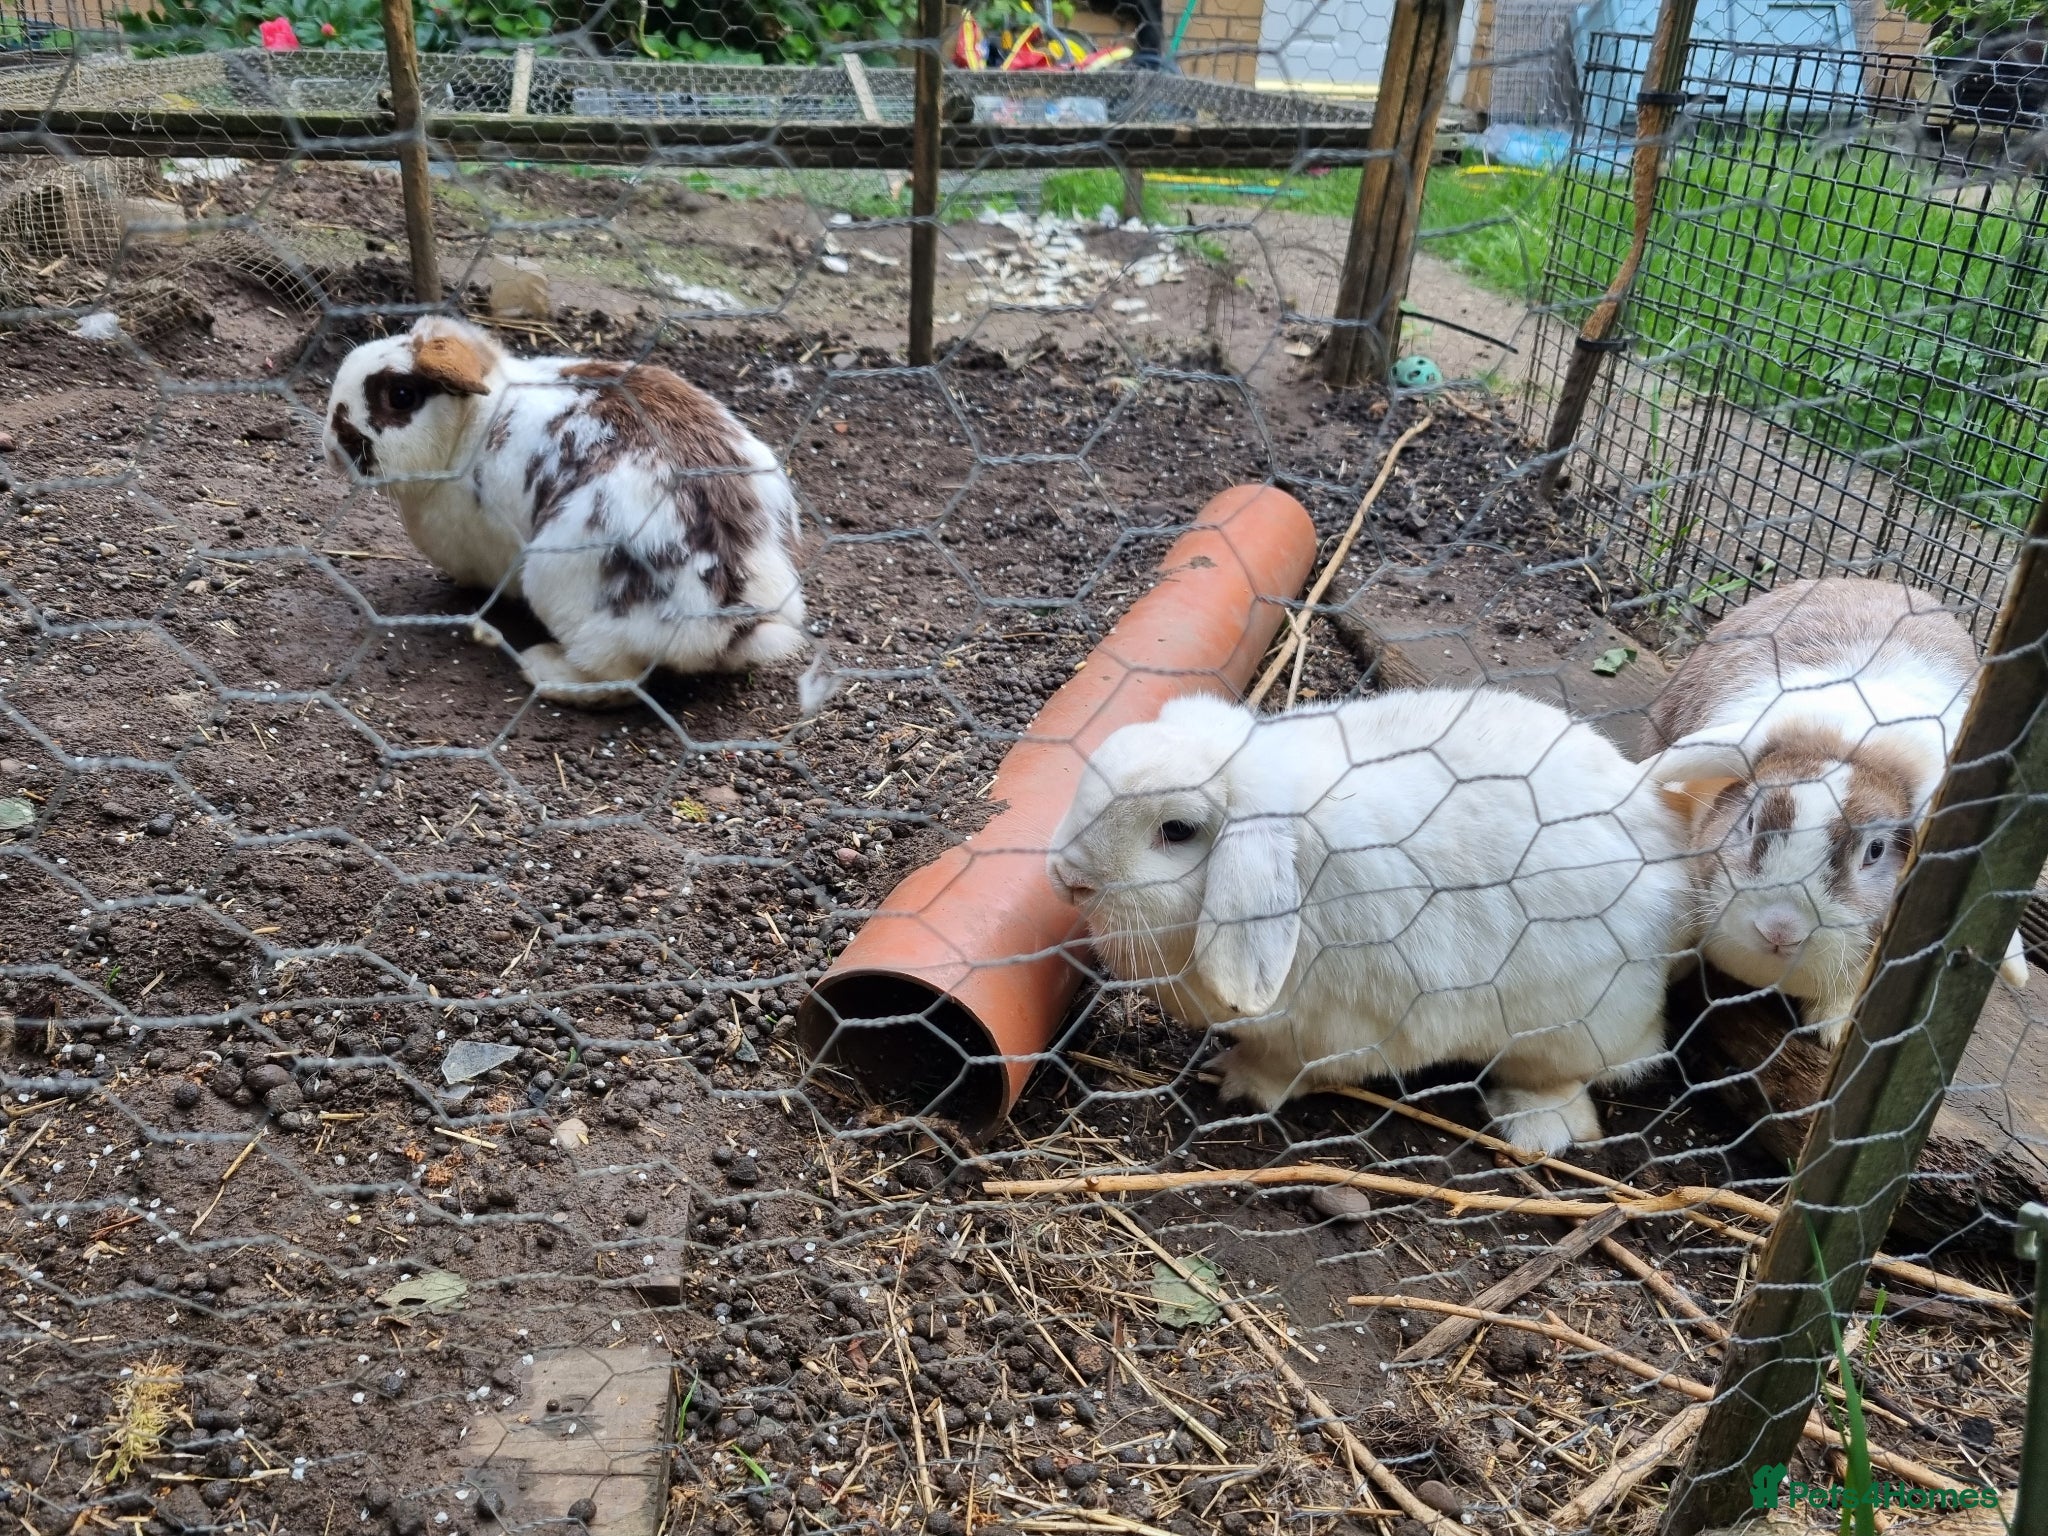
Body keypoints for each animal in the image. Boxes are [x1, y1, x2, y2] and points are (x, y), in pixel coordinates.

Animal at [322, 314, 809, 705]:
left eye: (401, 395)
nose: (332, 444)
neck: (472, 425)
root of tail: (731, 616)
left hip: (560, 585)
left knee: (618, 682)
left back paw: (541, 668)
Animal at [1046, 687, 1692, 1154]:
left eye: (1177, 830)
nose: (1067, 876)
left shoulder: (1326, 1031)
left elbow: (1283, 1068)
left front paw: (1238, 1084)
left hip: (1565, 1027)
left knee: (1572, 1078)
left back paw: (1532, 1125)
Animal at [1642, 577, 2028, 1046]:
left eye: (1876, 850)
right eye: (1751, 821)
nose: (1780, 930)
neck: (1851, 742)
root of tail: (1879, 581)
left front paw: (1834, 1030)